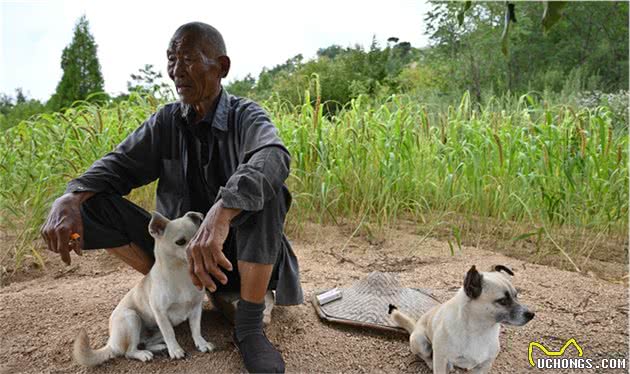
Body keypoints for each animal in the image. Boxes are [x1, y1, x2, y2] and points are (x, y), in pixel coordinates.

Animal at [74, 212, 215, 366]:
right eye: (180, 242)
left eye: (200, 237)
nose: (198, 251)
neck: (181, 274)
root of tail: (111, 343)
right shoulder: (161, 314)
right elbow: (170, 334)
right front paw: (176, 350)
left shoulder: (196, 308)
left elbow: (196, 329)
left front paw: (201, 344)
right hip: (132, 317)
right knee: (129, 352)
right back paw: (144, 354)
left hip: (154, 330)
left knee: (145, 343)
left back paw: (159, 347)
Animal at [392, 264, 536, 372]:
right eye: (502, 301)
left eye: (516, 295)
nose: (532, 314)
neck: (480, 331)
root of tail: (415, 327)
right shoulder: (440, 358)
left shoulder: (484, 366)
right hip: (421, 342)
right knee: (426, 357)